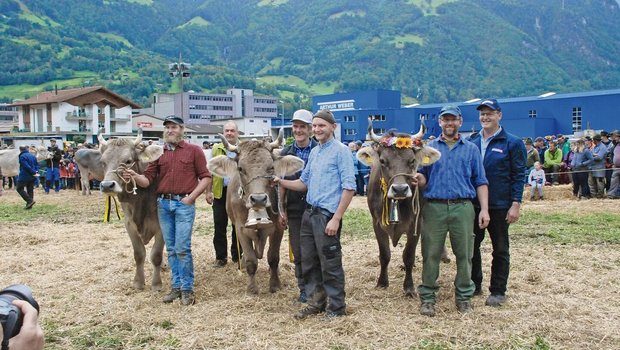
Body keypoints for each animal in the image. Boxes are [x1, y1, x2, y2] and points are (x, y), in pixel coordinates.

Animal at [208, 133, 306, 294]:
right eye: (240, 168)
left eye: (271, 167)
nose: (258, 199)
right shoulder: (241, 228)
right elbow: (251, 260)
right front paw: (252, 288)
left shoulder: (277, 227)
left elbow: (273, 257)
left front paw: (275, 284)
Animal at [356, 120, 444, 298]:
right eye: (383, 161)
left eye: (412, 161)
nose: (400, 189)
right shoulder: (377, 224)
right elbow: (384, 255)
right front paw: (382, 282)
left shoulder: (416, 223)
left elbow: (408, 256)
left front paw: (409, 287)